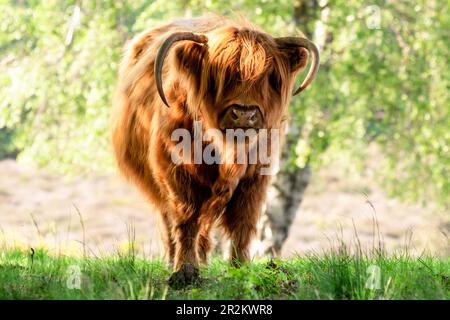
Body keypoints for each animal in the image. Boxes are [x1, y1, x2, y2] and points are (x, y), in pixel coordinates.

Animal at [110, 15, 318, 286]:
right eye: (223, 75)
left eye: (268, 76)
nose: (244, 113)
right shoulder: (176, 171)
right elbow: (186, 219)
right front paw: (185, 270)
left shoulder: (255, 177)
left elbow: (243, 222)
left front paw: (241, 268)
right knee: (170, 220)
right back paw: (173, 260)